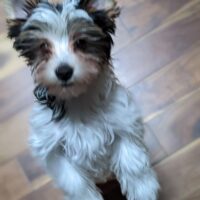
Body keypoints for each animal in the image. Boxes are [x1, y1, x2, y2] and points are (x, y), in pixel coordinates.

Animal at [5, 0, 160, 199]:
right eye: (43, 46)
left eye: (81, 42)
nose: (63, 71)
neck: (76, 97)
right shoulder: (52, 147)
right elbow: (73, 181)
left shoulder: (123, 120)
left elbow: (132, 159)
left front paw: (142, 189)